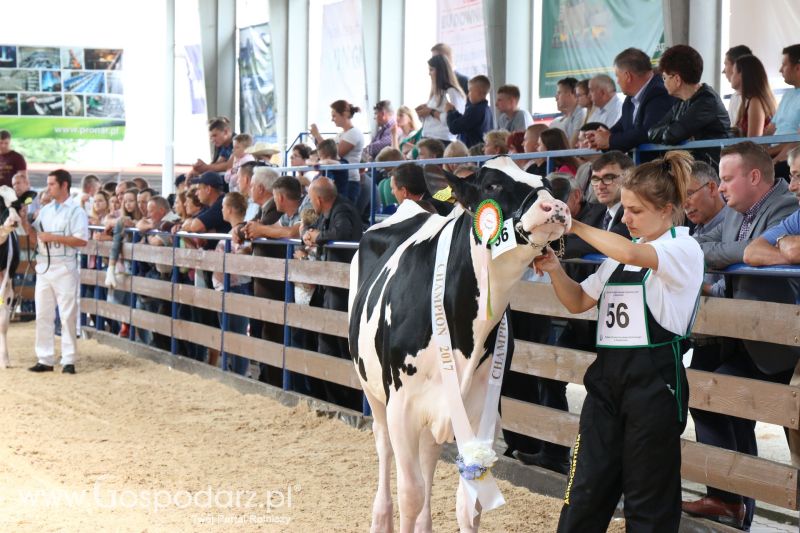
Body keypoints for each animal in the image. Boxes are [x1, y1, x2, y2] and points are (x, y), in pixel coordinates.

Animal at [348, 157, 568, 532]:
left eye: (548, 184)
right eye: (492, 185)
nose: (555, 206)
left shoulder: (481, 411)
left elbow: (469, 506)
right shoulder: (401, 408)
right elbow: (410, 494)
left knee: (429, 453)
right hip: (373, 390)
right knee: (383, 445)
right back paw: (380, 517)